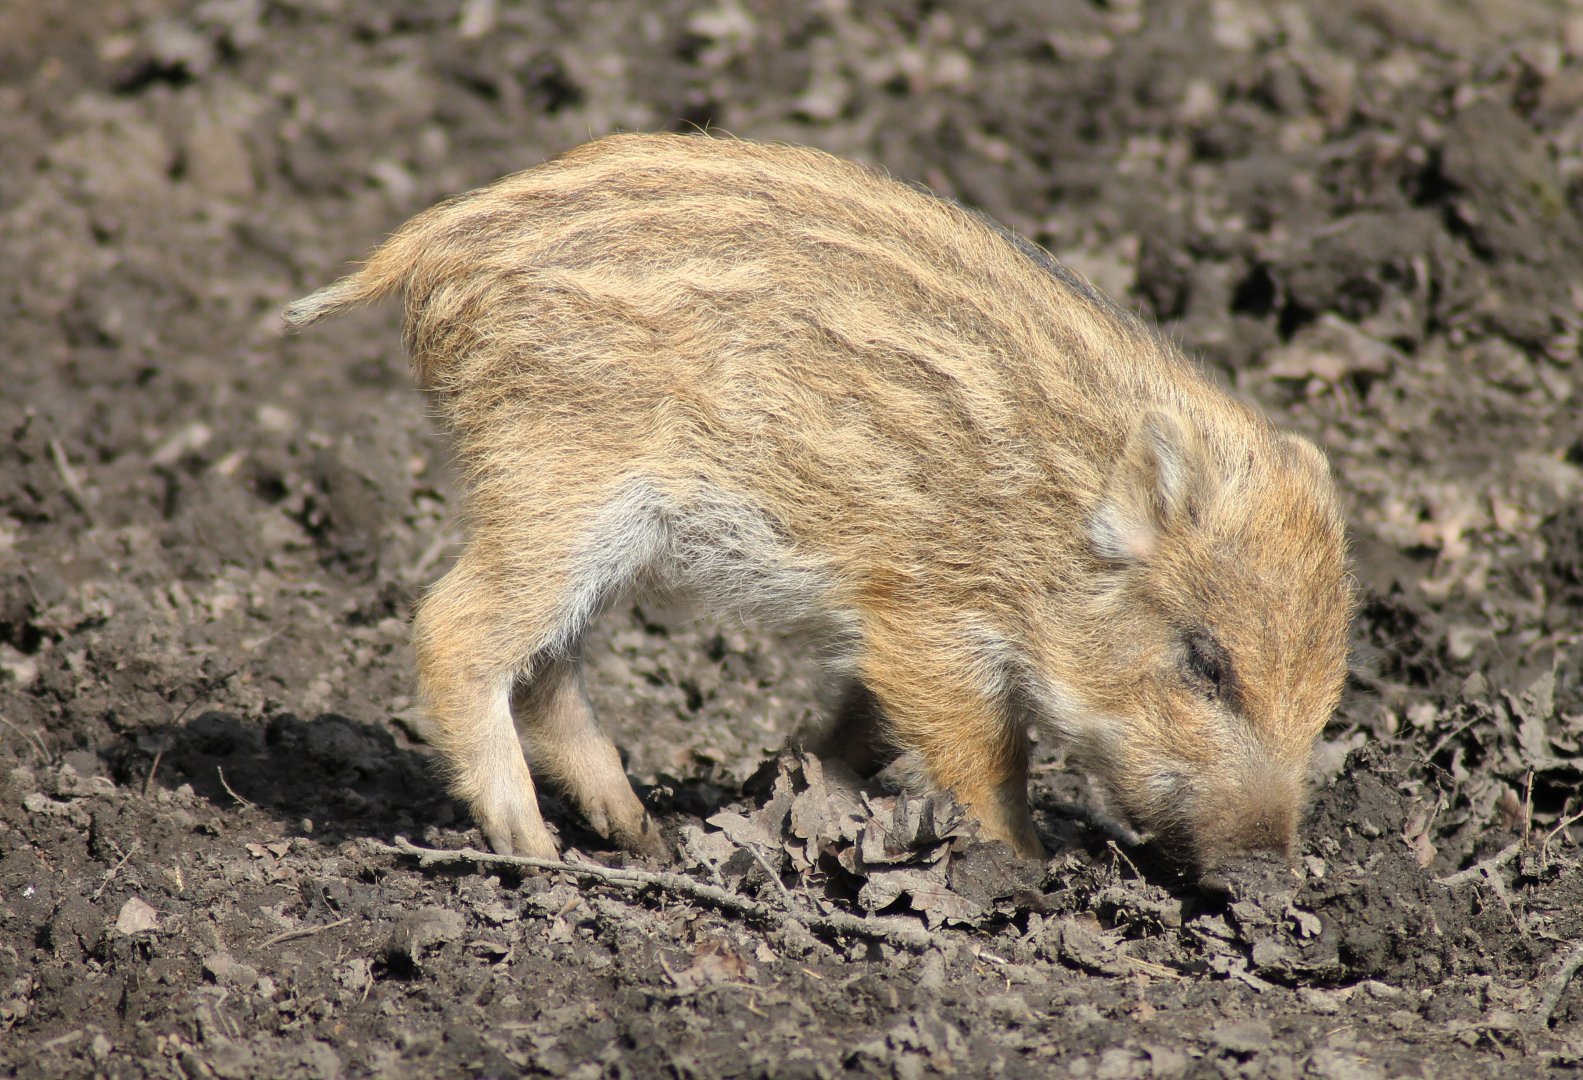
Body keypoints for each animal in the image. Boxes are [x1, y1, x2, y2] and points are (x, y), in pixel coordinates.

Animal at [284, 133, 1352, 871]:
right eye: (1206, 664)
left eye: (1326, 701)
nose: (1266, 874)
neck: (1053, 520)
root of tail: (430, 244)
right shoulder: (926, 618)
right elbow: (981, 754)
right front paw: (1027, 869)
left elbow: (857, 731)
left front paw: (798, 783)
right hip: (559, 480)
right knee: (454, 626)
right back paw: (533, 850)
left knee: (546, 668)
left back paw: (644, 838)